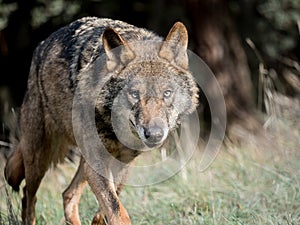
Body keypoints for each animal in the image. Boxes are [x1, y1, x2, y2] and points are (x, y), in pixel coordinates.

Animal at [4, 16, 199, 224]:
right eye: (134, 94)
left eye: (167, 93)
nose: (154, 134)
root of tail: (42, 45)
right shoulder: (97, 163)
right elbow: (117, 211)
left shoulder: (123, 163)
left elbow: (106, 210)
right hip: (39, 157)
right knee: (28, 196)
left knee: (68, 195)